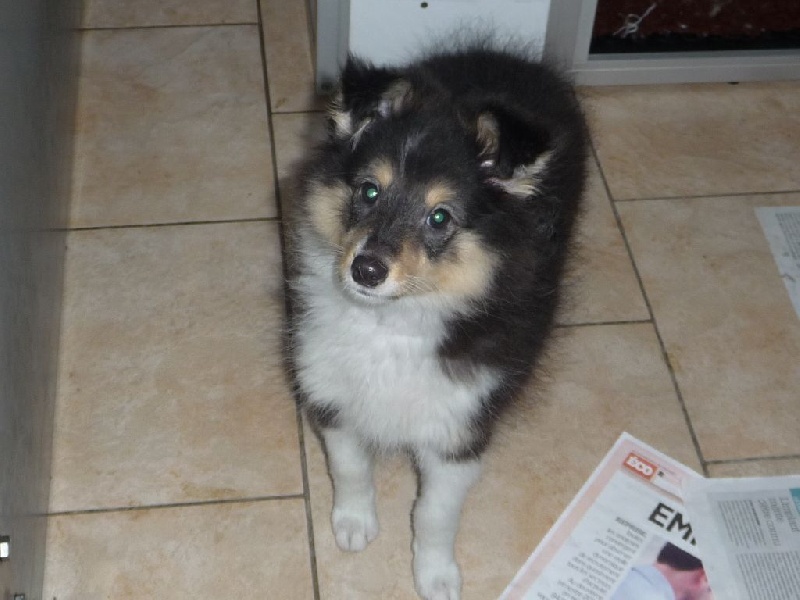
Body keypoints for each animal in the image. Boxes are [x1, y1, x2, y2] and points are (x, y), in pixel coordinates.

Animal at [288, 43, 588, 600]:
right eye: (369, 191)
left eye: (440, 217)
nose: (365, 269)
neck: (390, 325)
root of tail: (509, 56)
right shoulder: (331, 390)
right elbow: (350, 467)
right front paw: (354, 524)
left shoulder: (459, 430)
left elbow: (435, 514)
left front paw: (437, 576)